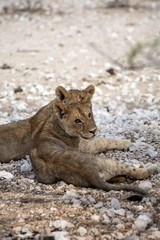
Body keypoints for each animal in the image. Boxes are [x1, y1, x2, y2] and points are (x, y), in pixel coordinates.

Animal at [0, 85, 157, 194]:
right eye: (78, 120)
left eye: (89, 112)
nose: (94, 130)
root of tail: (89, 172)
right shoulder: (83, 145)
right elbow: (102, 141)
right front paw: (125, 142)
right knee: (136, 172)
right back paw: (151, 168)